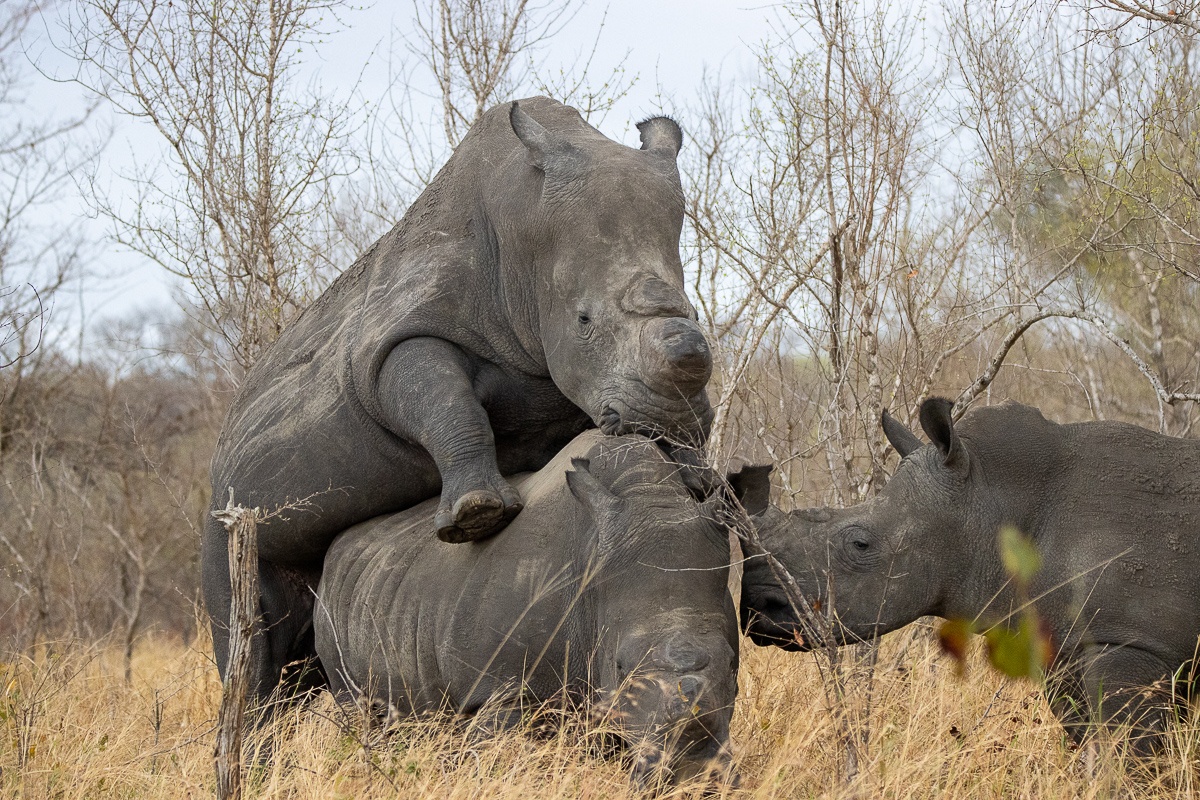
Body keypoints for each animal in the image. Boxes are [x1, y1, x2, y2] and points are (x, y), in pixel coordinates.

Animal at [203, 97, 715, 707]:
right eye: (584, 321)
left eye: (694, 311)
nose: (671, 415)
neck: (521, 233)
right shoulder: (392, 339)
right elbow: (442, 399)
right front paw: (476, 515)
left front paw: (698, 478)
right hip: (225, 515)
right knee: (251, 648)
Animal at [313, 431, 769, 787]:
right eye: (620, 666)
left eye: (734, 666)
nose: (691, 777)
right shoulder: (503, 687)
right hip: (332, 612)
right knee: (360, 715)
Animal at [740, 398, 1200, 750]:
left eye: (860, 544)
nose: (756, 605)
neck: (990, 498)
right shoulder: (1063, 647)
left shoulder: (1129, 641)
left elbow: (1130, 755)